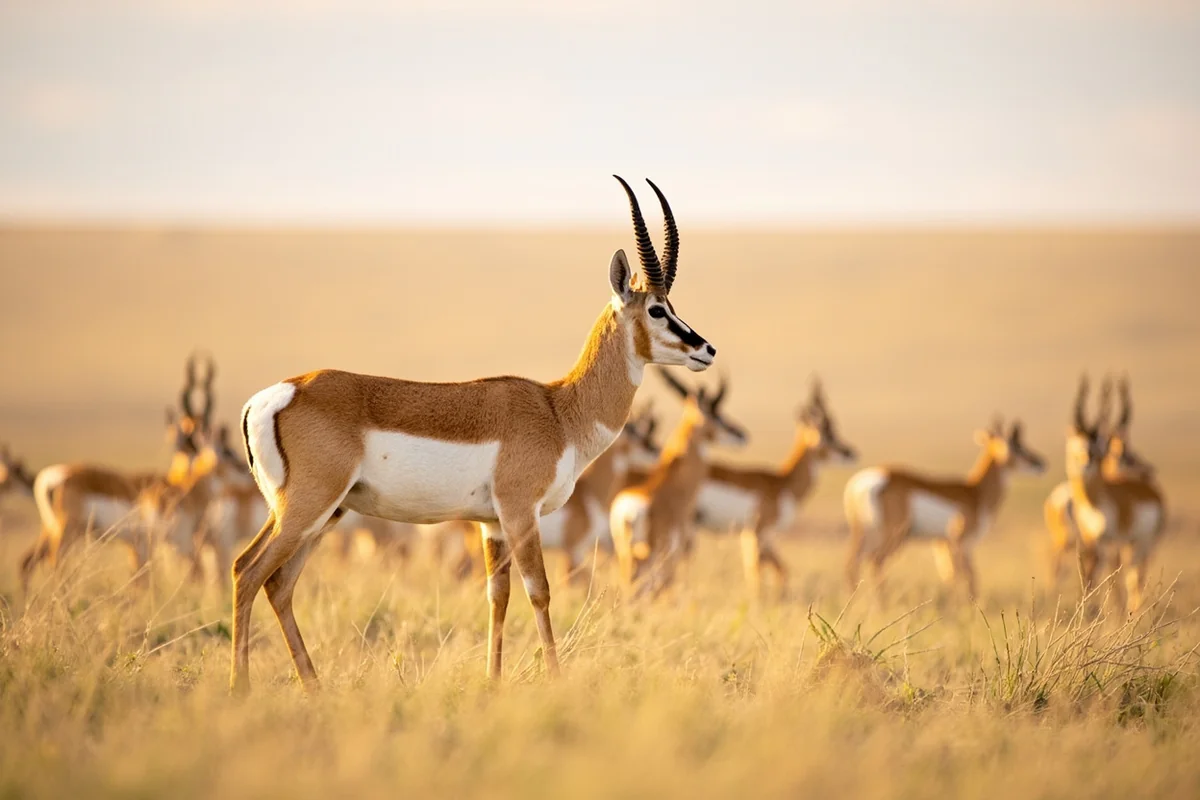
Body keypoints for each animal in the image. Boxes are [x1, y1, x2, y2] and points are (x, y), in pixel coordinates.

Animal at [233, 176, 719, 692]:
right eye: (656, 309)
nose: (706, 349)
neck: (558, 410)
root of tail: (270, 397)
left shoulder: (491, 523)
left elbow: (497, 595)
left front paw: (493, 680)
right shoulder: (521, 512)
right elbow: (539, 591)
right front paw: (555, 678)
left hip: (324, 513)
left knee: (277, 583)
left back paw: (314, 686)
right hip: (307, 508)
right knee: (247, 570)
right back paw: (239, 688)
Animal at [609, 369, 748, 597]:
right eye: (716, 414)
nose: (742, 435)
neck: (672, 484)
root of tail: (629, 512)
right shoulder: (675, 554)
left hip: (625, 555)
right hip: (650, 556)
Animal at [694, 378, 857, 599]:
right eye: (826, 434)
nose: (851, 453)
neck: (782, 483)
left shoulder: (753, 536)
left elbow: (772, 570)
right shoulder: (759, 533)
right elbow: (761, 571)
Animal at [843, 418, 1046, 601]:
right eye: (1016, 447)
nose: (1040, 463)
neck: (975, 492)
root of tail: (867, 480)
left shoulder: (943, 544)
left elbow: (950, 575)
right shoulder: (963, 543)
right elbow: (969, 575)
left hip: (864, 534)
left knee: (853, 561)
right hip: (893, 537)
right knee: (876, 560)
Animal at [1063, 376, 1166, 614]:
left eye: (1096, 444)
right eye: (1078, 440)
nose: (1086, 461)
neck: (1094, 501)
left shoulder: (1112, 541)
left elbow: (1112, 576)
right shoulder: (1090, 540)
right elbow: (1089, 575)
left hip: (1143, 542)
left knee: (1135, 575)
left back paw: (1133, 610)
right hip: (1129, 545)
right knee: (1130, 574)